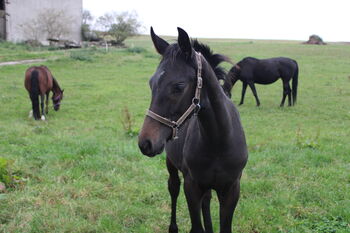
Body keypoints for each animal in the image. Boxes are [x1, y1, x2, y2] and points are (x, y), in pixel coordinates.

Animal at [138, 27, 247, 233]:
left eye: (179, 86)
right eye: (150, 83)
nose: (145, 143)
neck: (218, 140)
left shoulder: (231, 189)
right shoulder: (192, 186)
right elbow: (196, 226)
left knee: (207, 200)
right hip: (172, 165)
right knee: (173, 188)